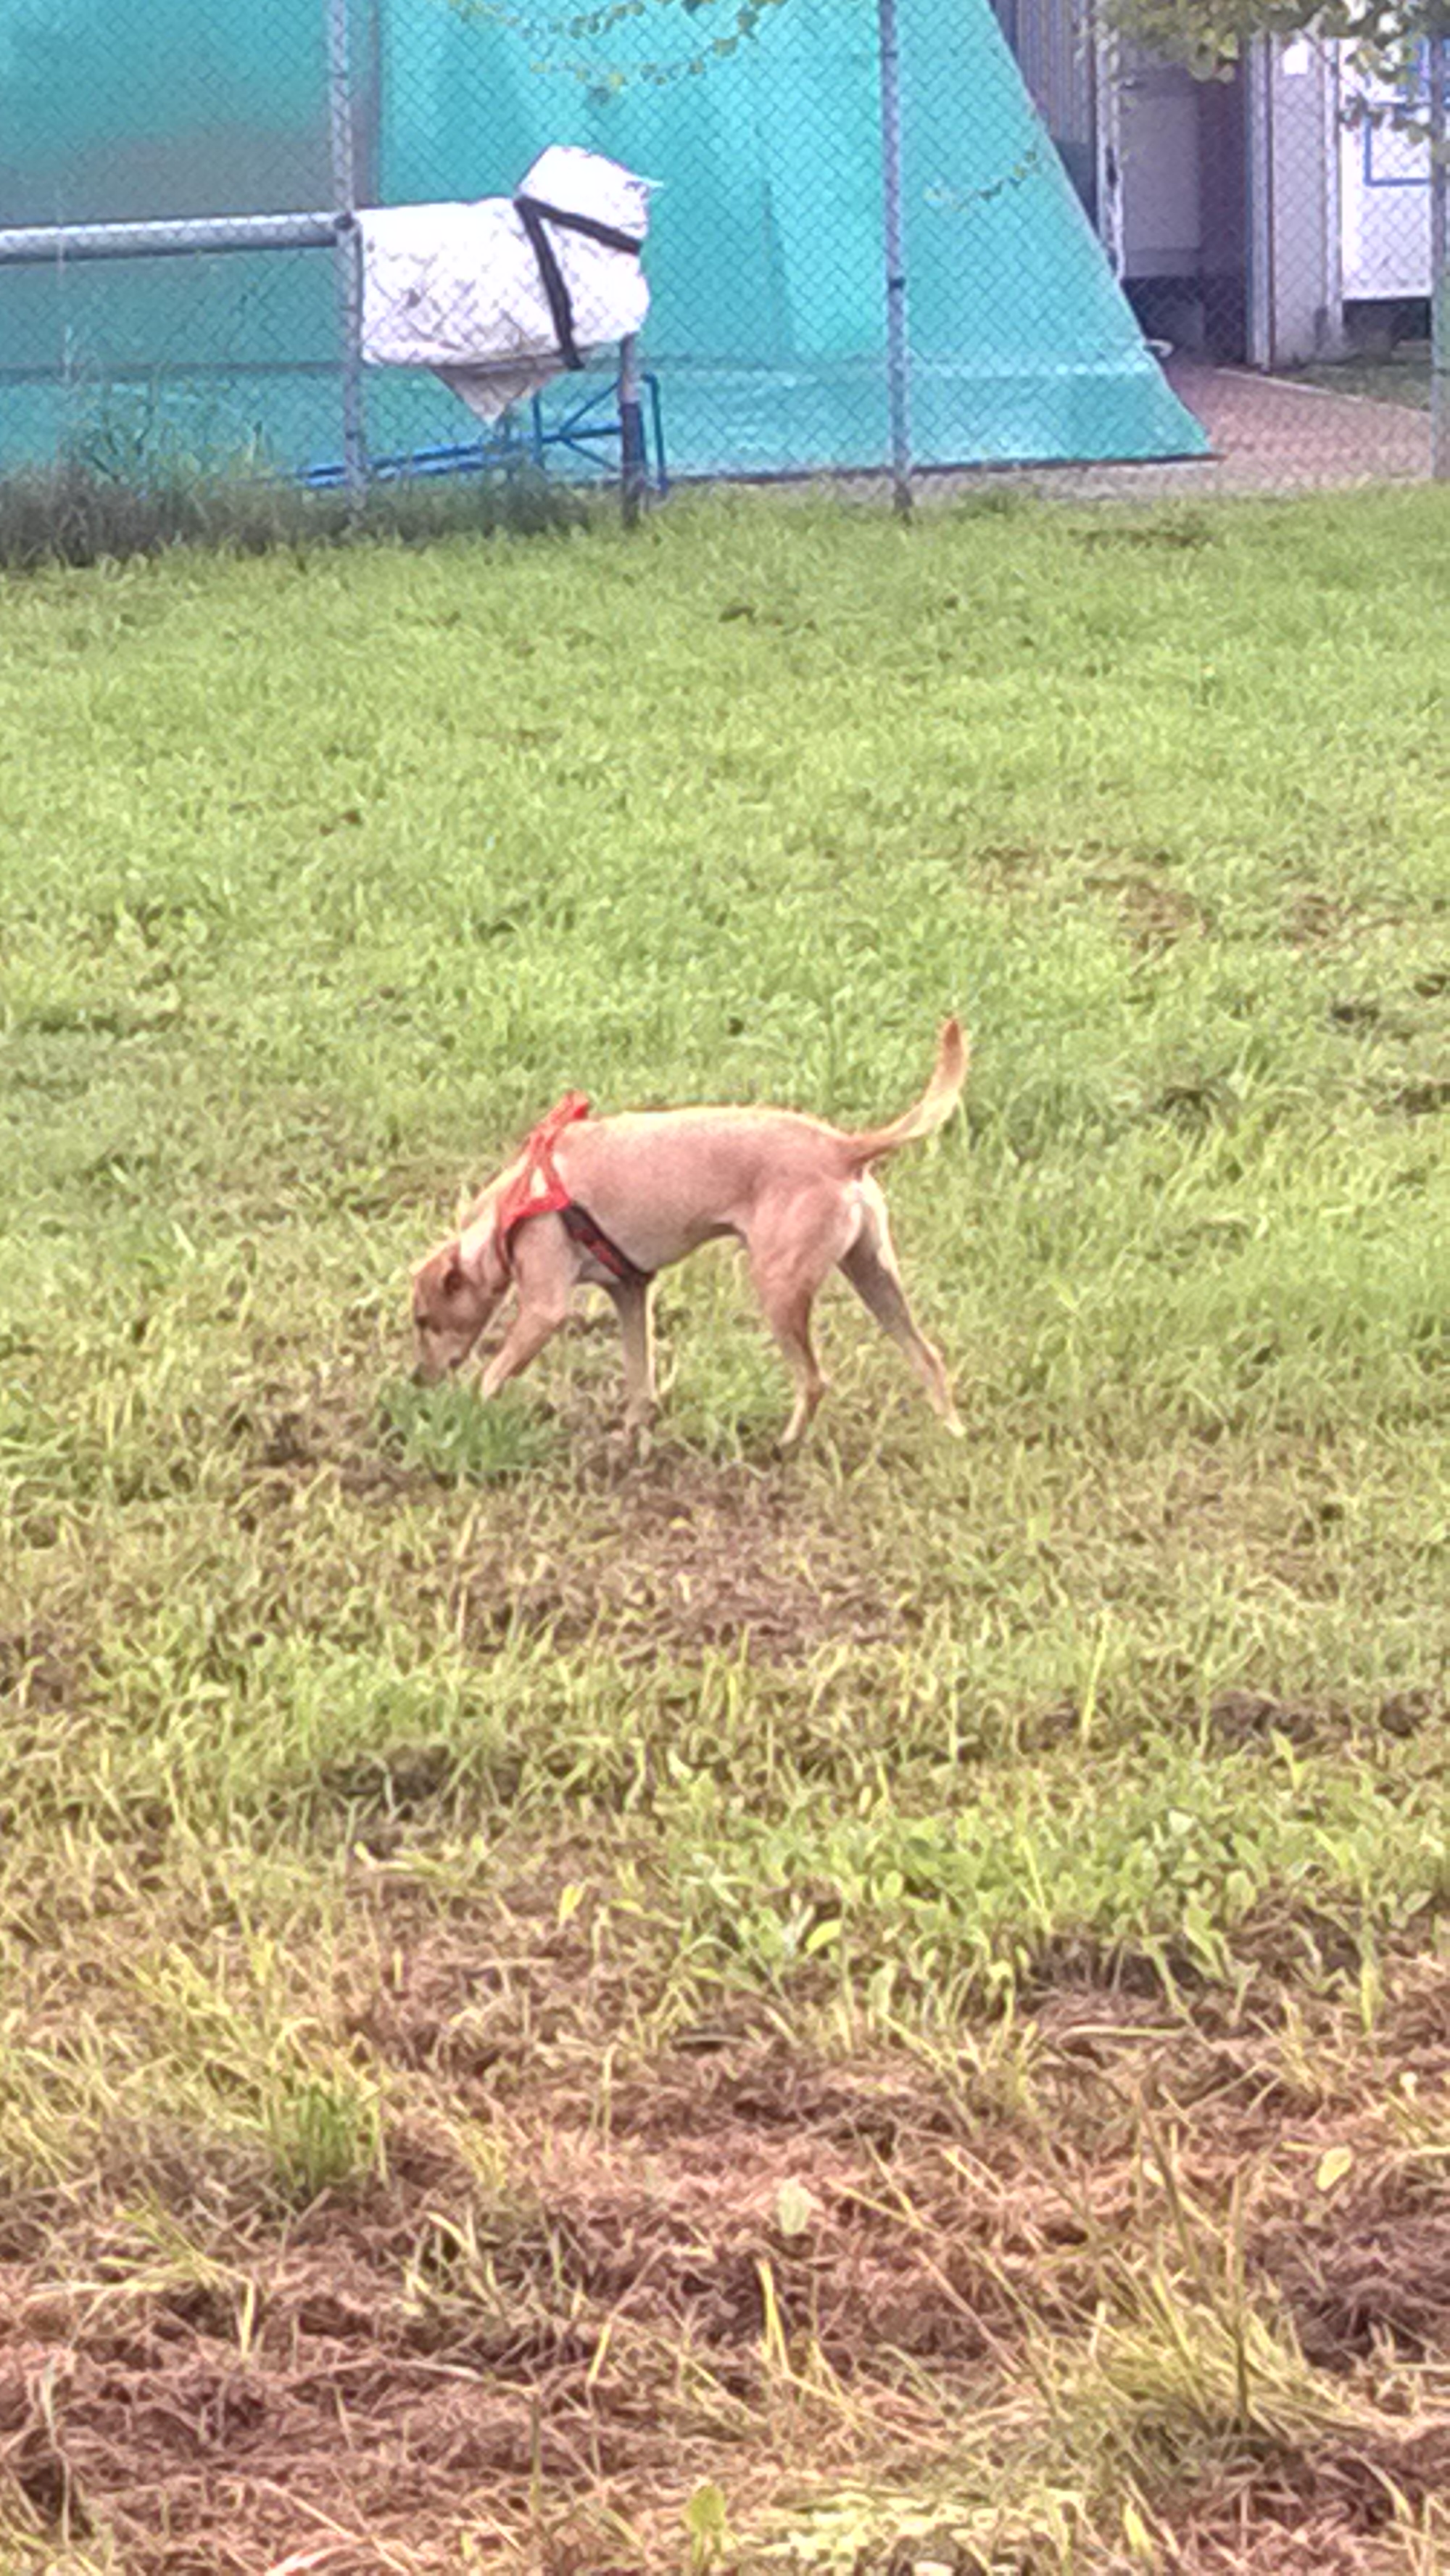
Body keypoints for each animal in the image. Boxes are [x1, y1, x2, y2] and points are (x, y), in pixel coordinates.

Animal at [411, 1019, 967, 1447]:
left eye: (423, 1320)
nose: (417, 1380)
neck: (521, 1195)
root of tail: (843, 1148)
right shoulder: (630, 1292)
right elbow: (640, 1376)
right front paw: (633, 1436)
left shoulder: (545, 1310)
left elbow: (491, 1374)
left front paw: (466, 1416)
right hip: (874, 1274)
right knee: (928, 1356)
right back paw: (954, 1433)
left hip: (780, 1286)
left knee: (814, 1380)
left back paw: (786, 1446)